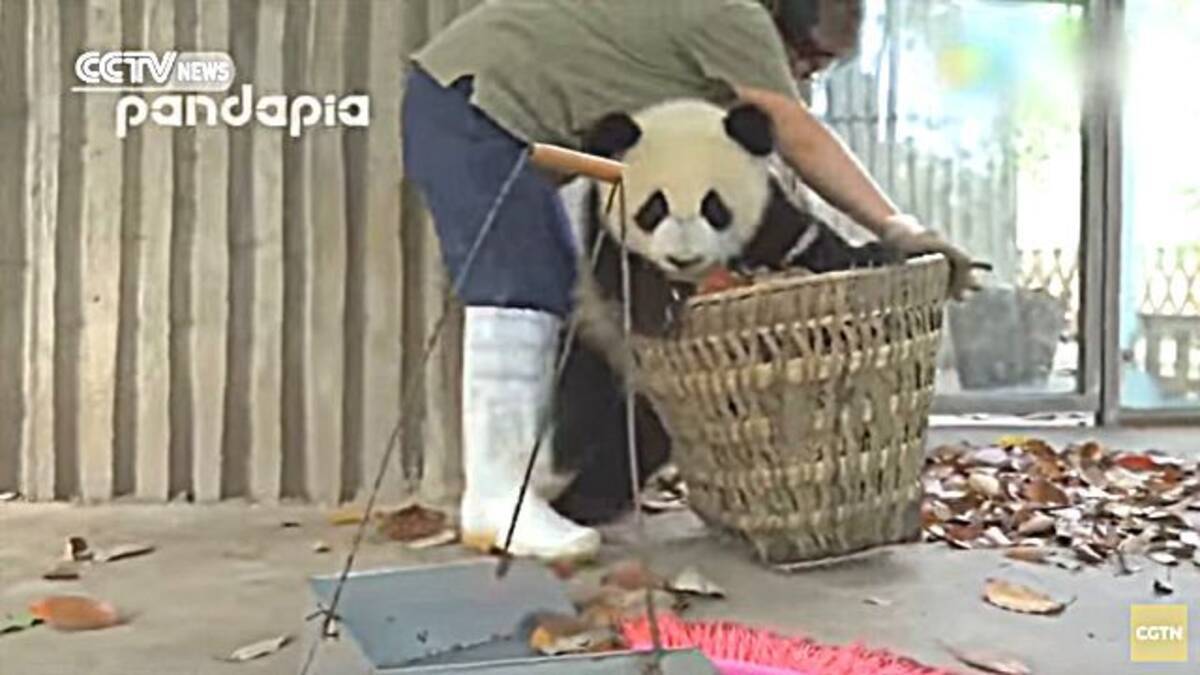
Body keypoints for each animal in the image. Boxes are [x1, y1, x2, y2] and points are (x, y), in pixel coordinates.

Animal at [544, 98, 902, 521]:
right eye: (653, 208)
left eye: (713, 207)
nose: (683, 258)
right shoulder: (602, 237)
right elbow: (624, 272)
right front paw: (659, 307)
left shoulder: (771, 219)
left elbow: (809, 245)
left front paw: (876, 253)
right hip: (594, 335)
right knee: (584, 403)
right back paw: (578, 497)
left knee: (638, 433)